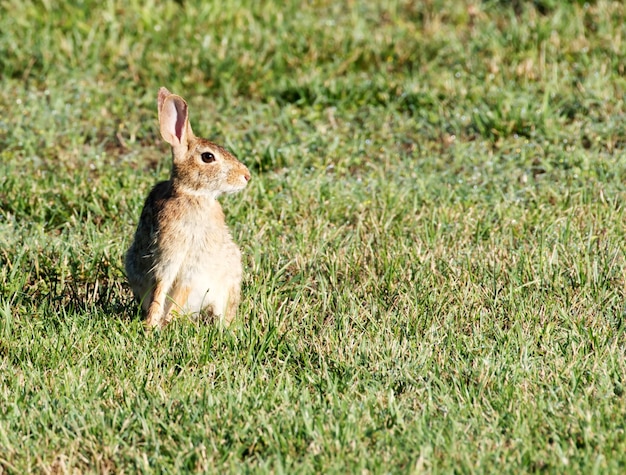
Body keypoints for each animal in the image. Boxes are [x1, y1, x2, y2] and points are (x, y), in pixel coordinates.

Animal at [124, 87, 251, 330]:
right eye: (208, 157)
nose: (246, 176)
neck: (192, 194)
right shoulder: (168, 254)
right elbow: (162, 287)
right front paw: (152, 325)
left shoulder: (195, 262)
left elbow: (181, 289)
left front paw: (164, 322)